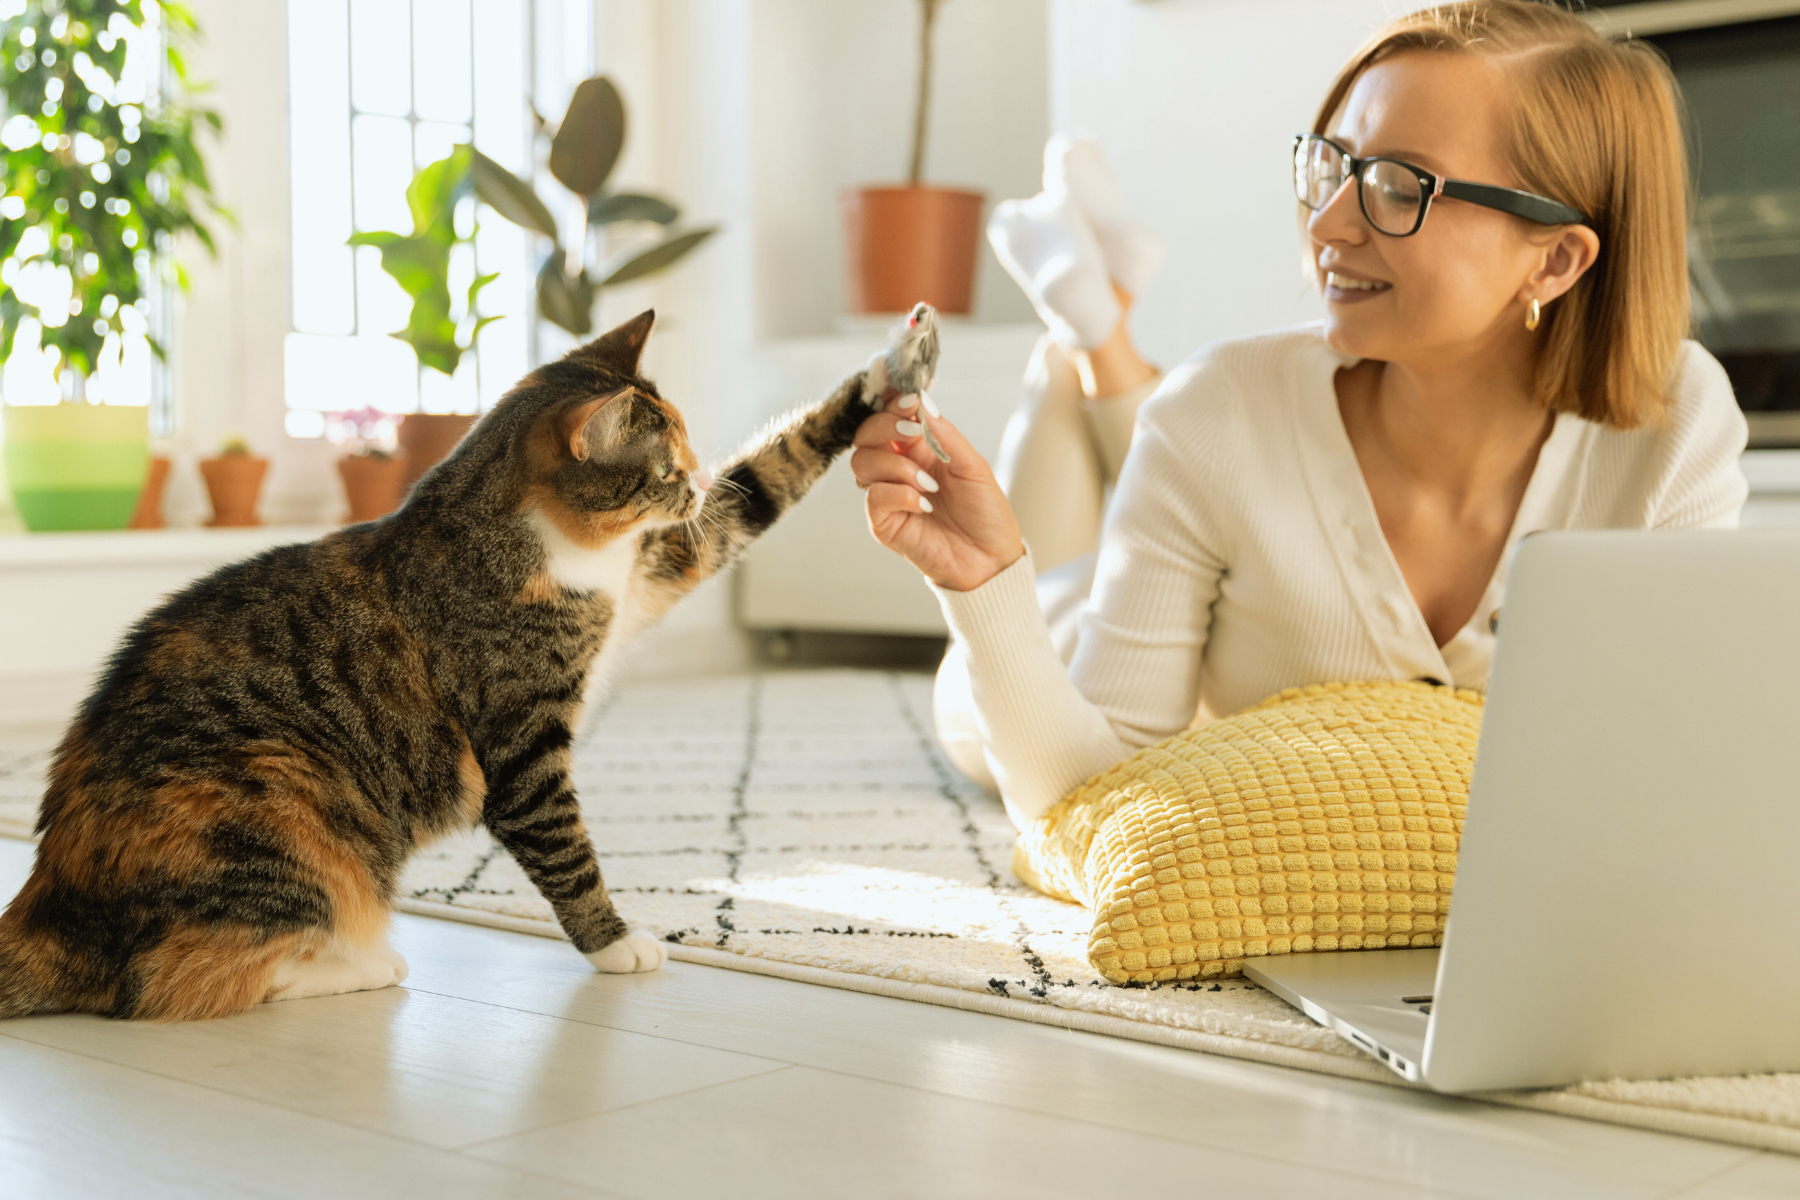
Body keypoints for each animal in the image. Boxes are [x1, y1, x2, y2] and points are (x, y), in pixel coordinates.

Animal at [3, 309, 943, 1021]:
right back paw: (361, 963)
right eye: (665, 465)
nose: (698, 478)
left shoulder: (660, 562)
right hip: (275, 796)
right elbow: (567, 852)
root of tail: (48, 908)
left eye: (689, 459)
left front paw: (895, 369)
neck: (558, 550)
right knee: (167, 984)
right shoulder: (522, 743)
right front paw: (617, 945)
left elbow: (770, 477)